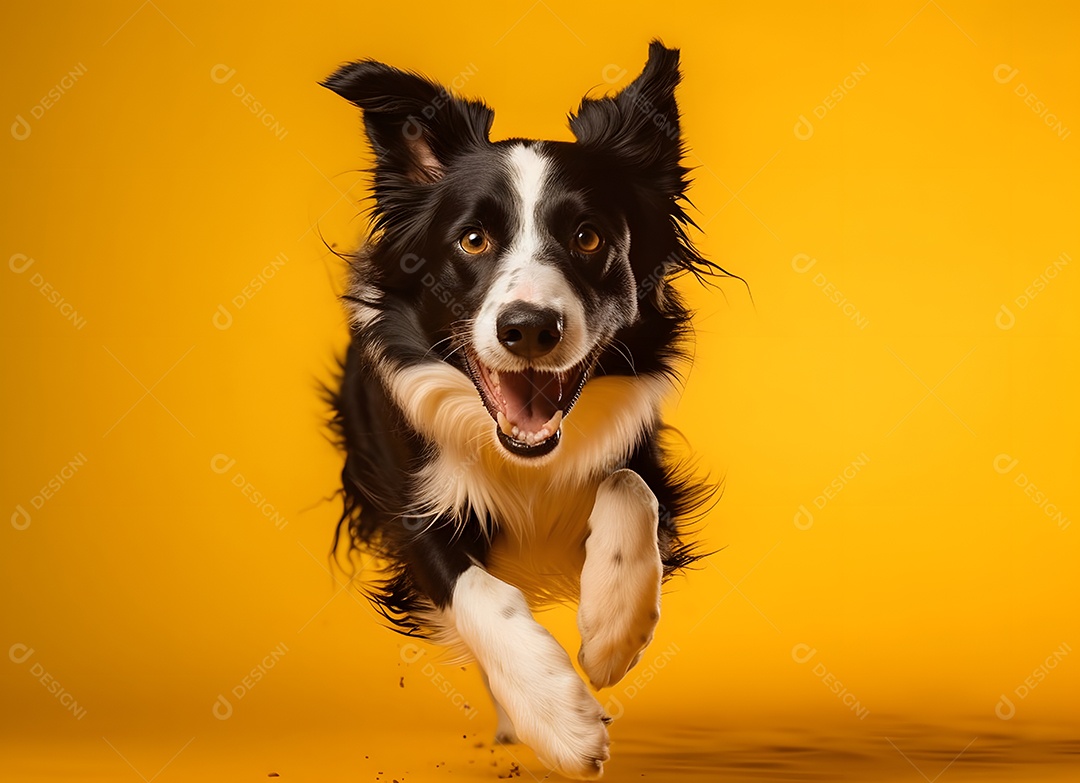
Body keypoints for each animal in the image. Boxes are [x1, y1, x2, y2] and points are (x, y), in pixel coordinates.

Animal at [324, 41, 721, 777]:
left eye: (589, 237)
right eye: (473, 239)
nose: (529, 328)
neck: (526, 460)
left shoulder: (642, 453)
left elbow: (630, 487)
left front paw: (611, 632)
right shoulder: (408, 502)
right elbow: (479, 592)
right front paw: (556, 715)